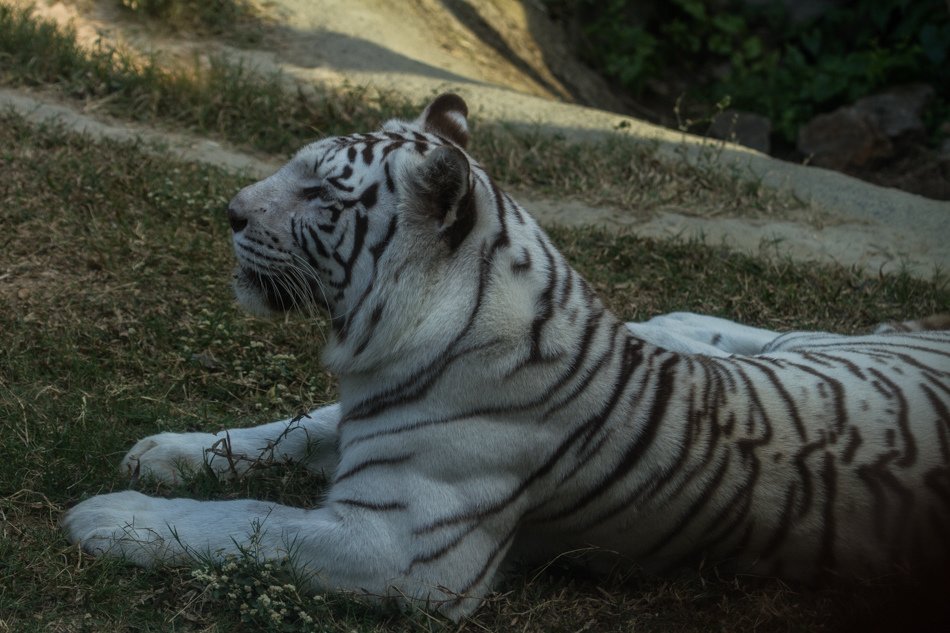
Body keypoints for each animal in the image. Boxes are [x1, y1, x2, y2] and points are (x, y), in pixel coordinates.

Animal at [65, 94, 950, 616]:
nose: (230, 211)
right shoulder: (363, 419)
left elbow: (253, 521)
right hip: (813, 344)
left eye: (320, 193)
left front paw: (107, 513)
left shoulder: (402, 547)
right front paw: (163, 452)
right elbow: (285, 428)